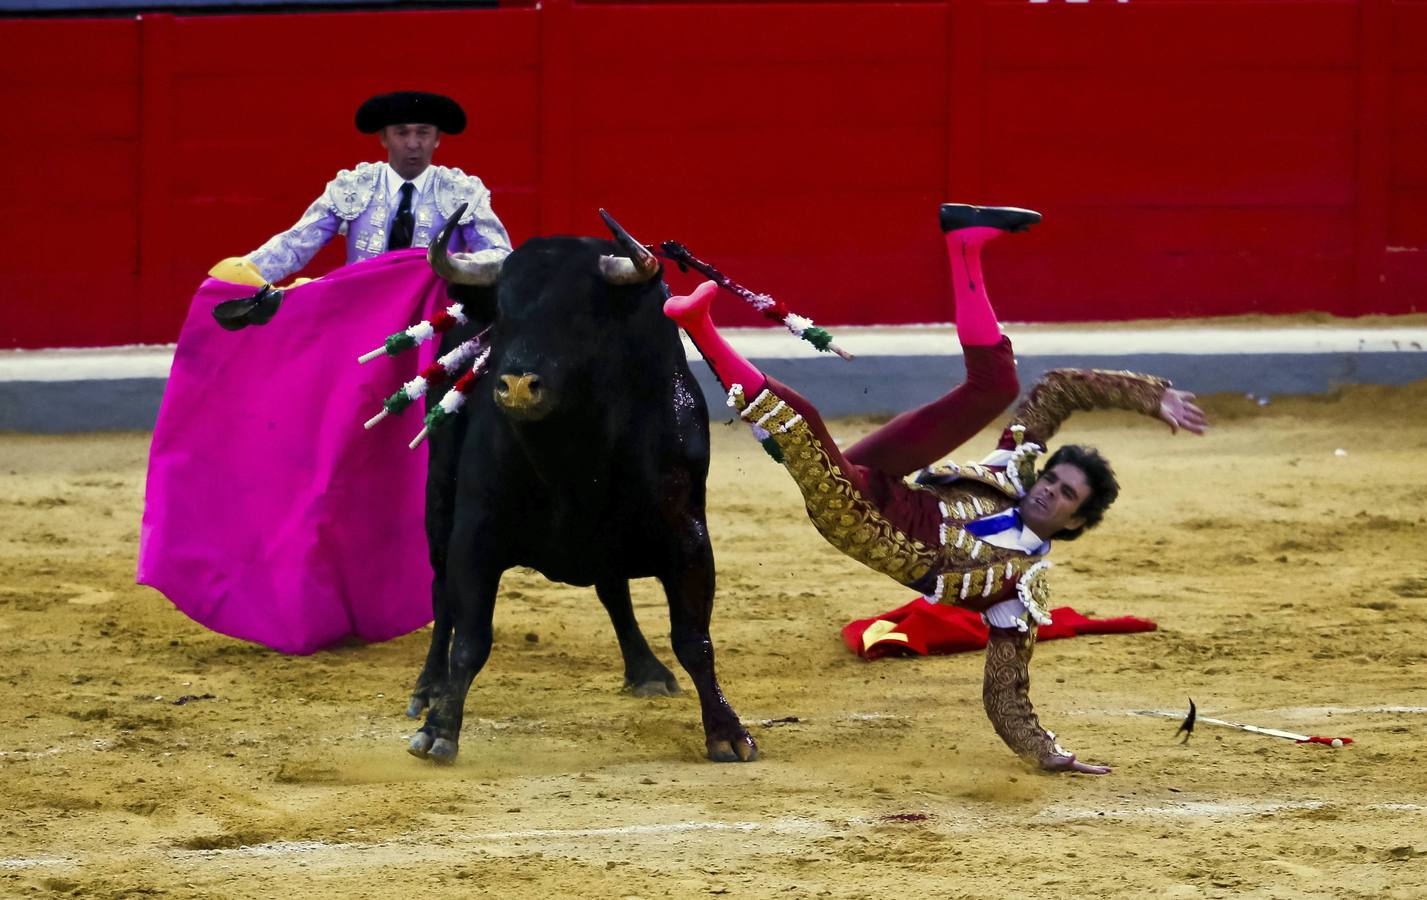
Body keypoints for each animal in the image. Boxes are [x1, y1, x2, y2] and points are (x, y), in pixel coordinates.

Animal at [402, 215, 759, 764]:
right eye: (502, 315)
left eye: (579, 317)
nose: (517, 385)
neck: (573, 449)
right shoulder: (474, 534)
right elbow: (470, 638)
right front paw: (440, 727)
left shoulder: (688, 537)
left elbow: (694, 639)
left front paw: (727, 730)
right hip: (439, 501)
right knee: (443, 596)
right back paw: (428, 688)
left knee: (613, 590)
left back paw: (646, 669)